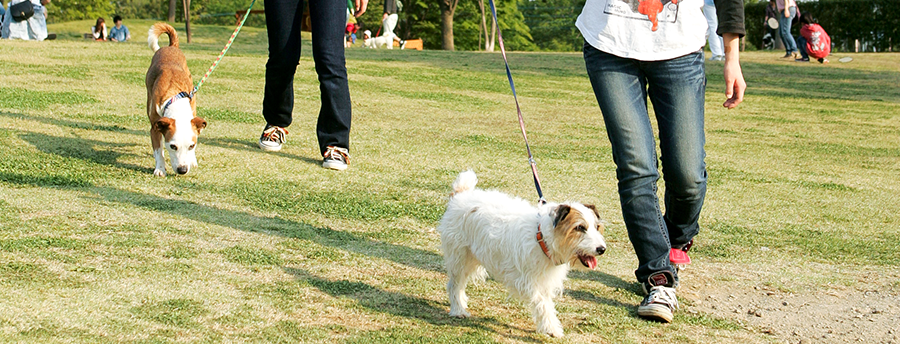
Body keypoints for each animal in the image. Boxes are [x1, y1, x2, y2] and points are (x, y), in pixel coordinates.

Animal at [145, 22, 207, 176]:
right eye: (173, 146)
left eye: (191, 146)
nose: (182, 170)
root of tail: (171, 46)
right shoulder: (155, 127)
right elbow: (158, 151)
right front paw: (160, 169)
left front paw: (193, 160)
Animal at [434, 171, 604, 338]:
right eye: (580, 227)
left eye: (596, 227)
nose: (602, 249)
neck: (541, 237)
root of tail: (460, 195)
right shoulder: (525, 280)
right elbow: (542, 303)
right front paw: (551, 328)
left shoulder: (543, 281)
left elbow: (546, 302)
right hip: (459, 258)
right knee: (454, 285)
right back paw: (458, 310)